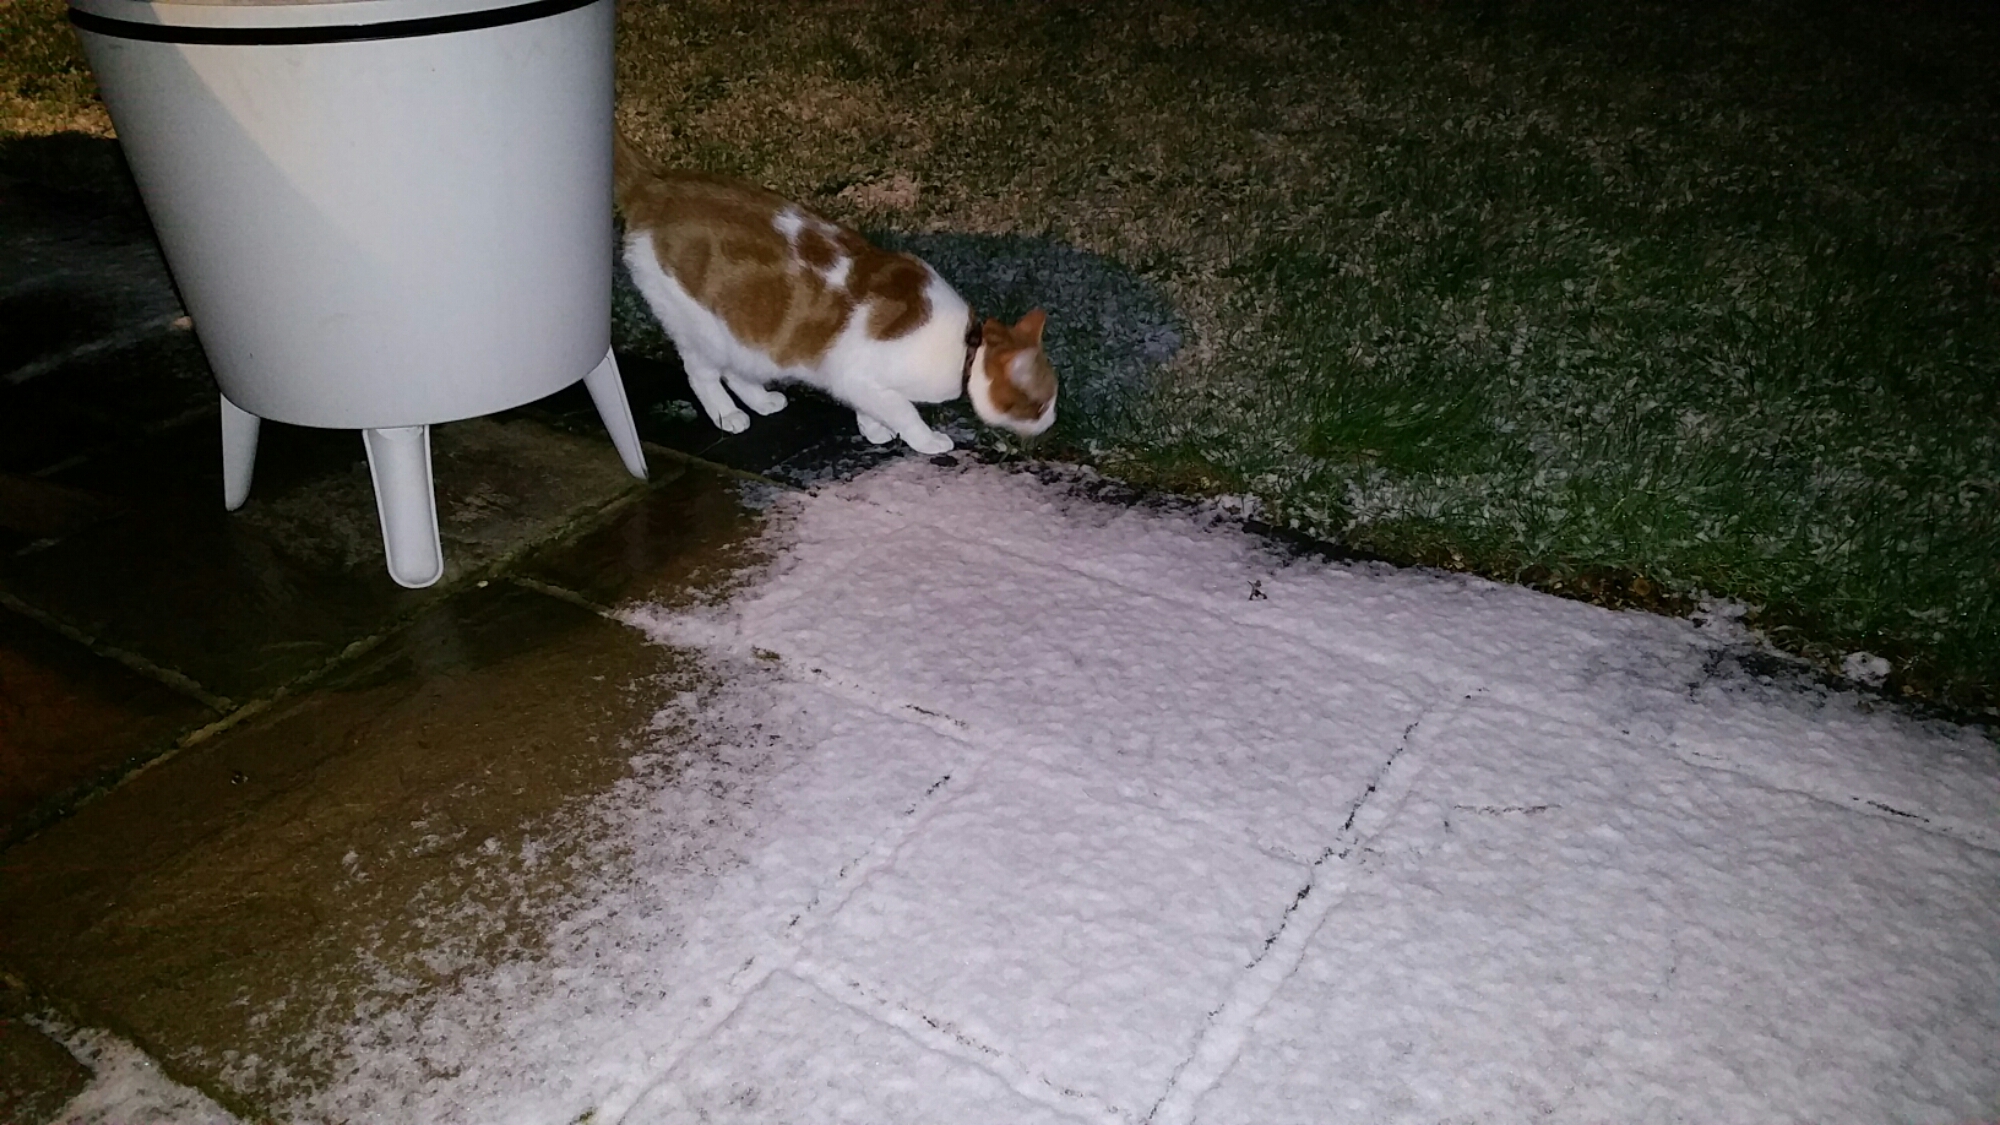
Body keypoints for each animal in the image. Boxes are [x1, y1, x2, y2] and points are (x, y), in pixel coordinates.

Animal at [613, 133, 1057, 455]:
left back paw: (762, 402)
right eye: (1040, 405)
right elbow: (904, 411)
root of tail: (656, 184)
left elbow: (874, 407)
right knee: (702, 374)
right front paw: (925, 439)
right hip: (701, 328)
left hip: (744, 335)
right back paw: (728, 414)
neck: (965, 346)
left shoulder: (856, 380)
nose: (1051, 423)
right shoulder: (857, 374)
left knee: (737, 370)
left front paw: (874, 428)